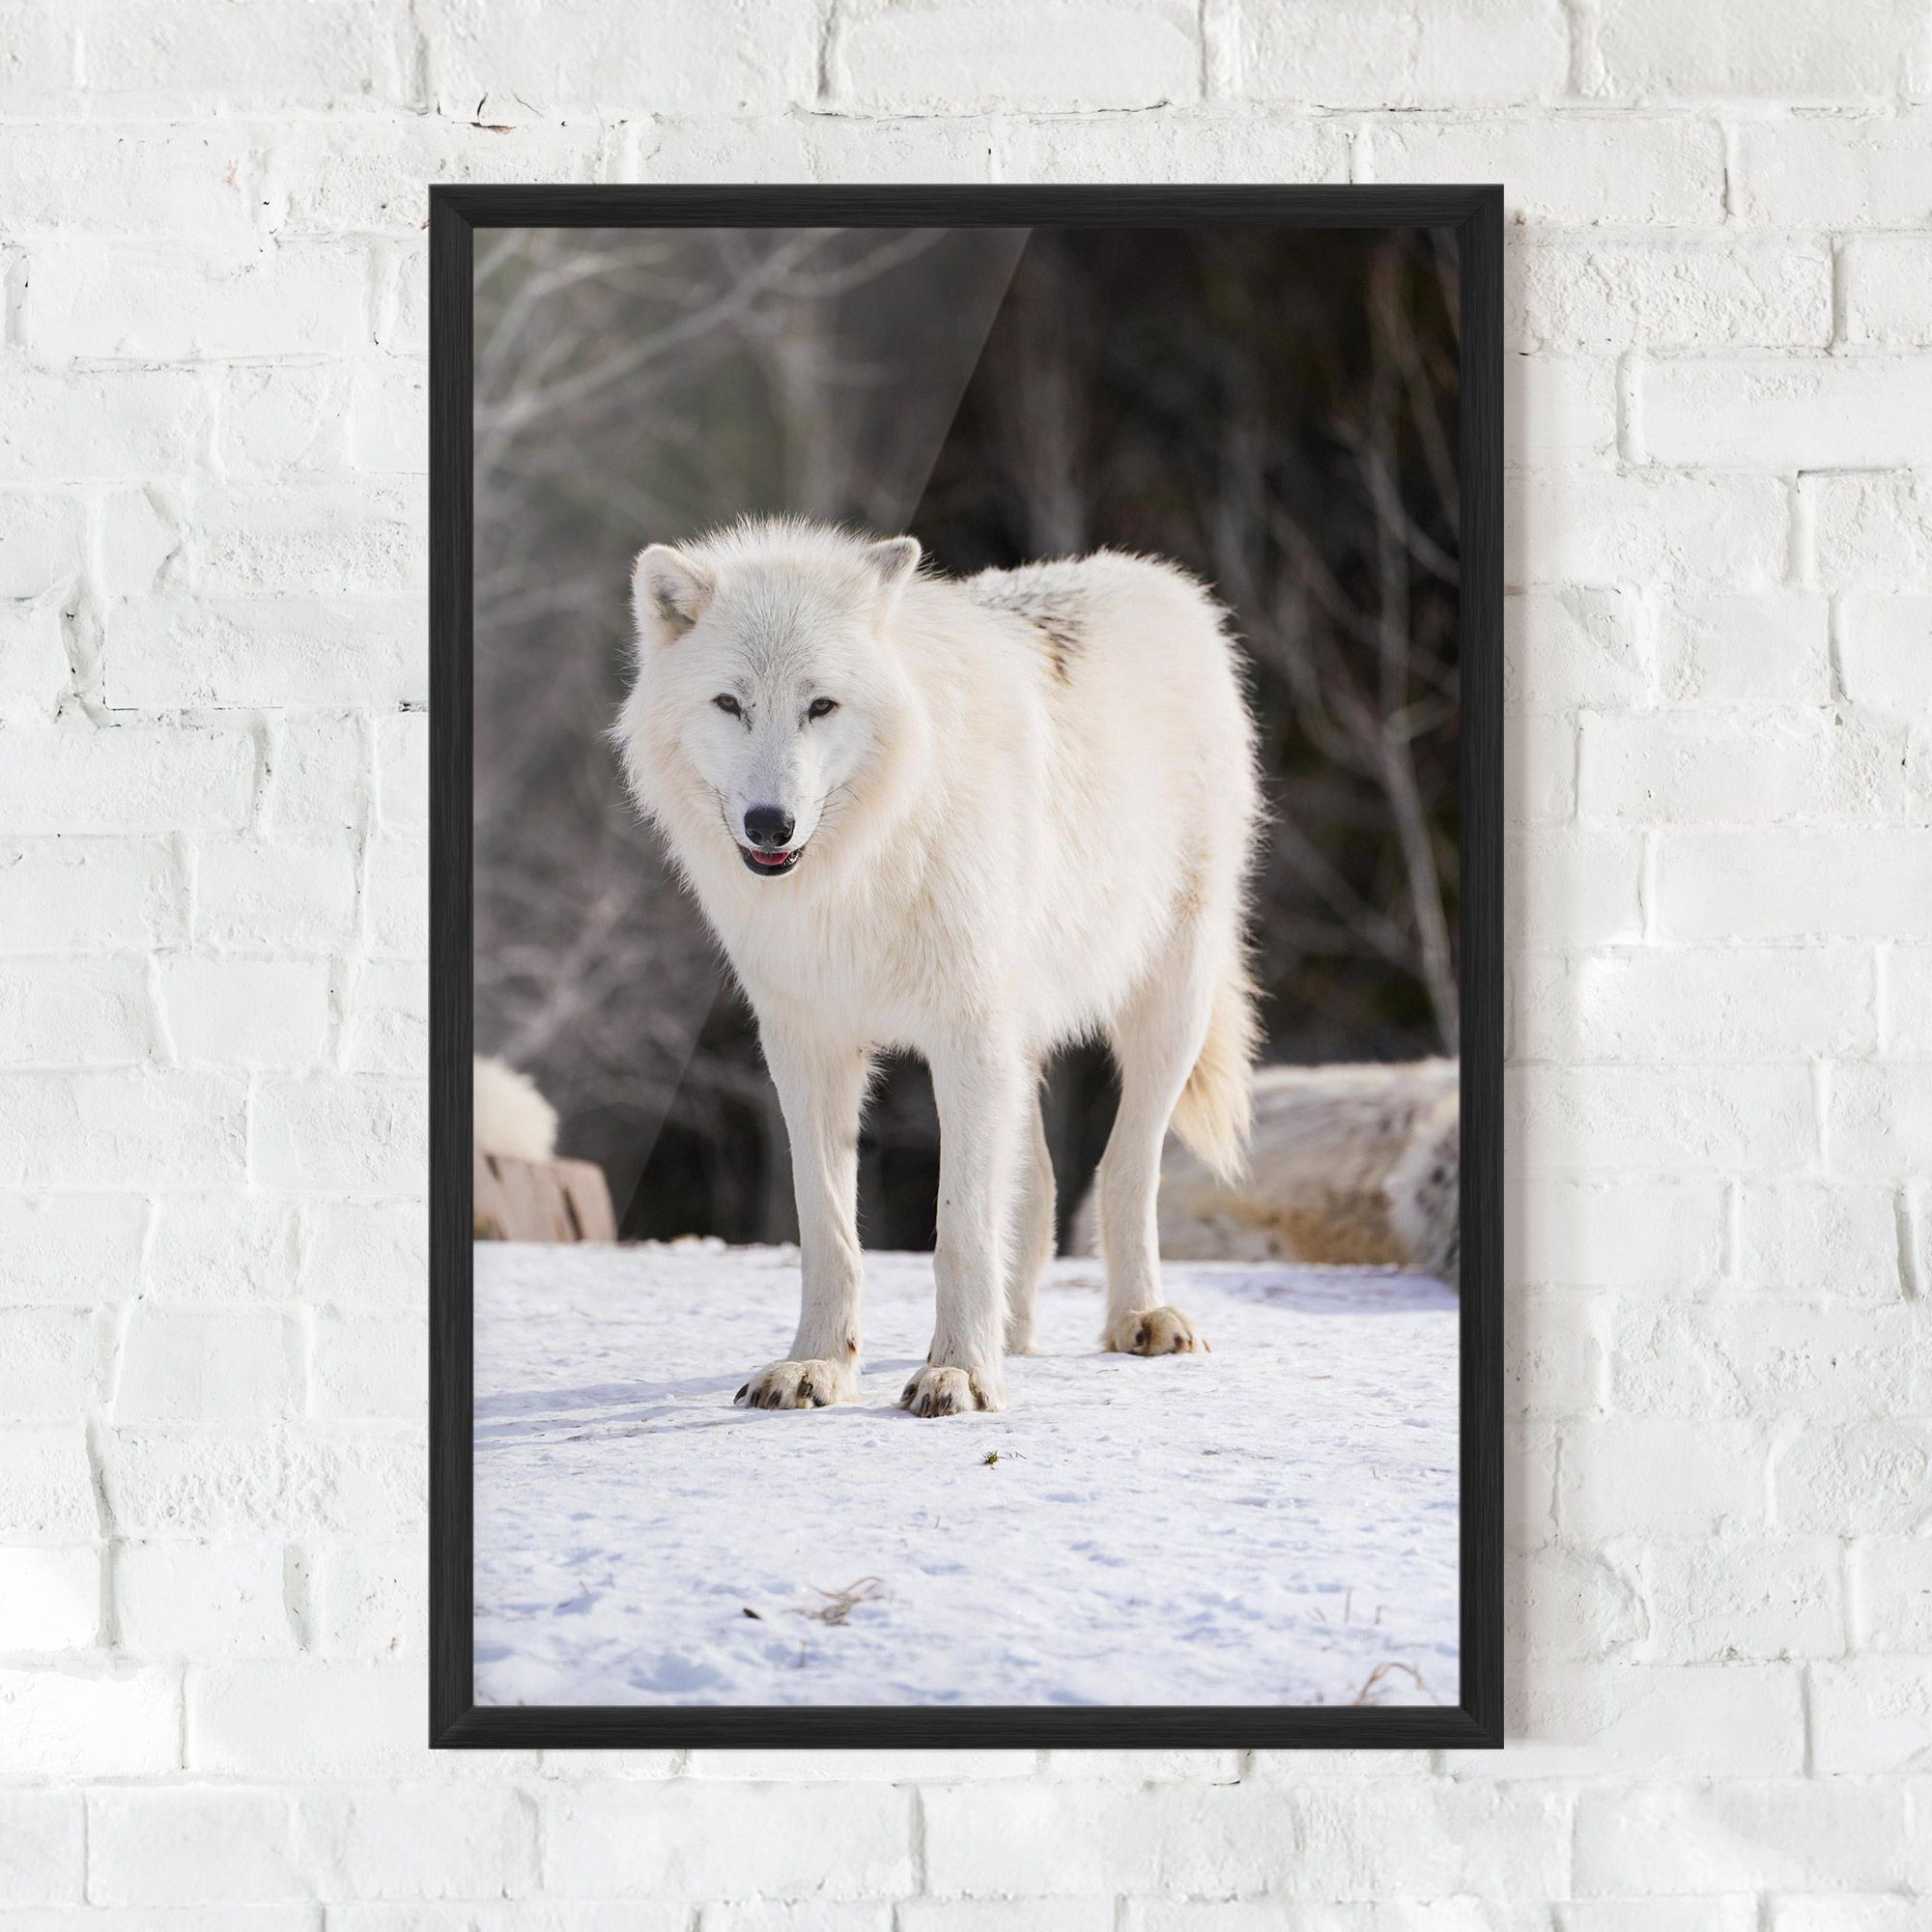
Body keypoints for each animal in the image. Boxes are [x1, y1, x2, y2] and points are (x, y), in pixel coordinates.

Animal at [614, 518, 1260, 1416]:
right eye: (729, 704)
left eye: (821, 705)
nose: (770, 824)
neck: (858, 872)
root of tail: (1160, 581)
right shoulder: (806, 1046)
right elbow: (828, 1227)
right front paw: (817, 1364)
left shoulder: (968, 1038)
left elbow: (958, 1227)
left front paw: (959, 1372)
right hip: (1024, 1042)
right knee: (1041, 1185)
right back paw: (1015, 1335)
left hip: (1168, 1007)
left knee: (1126, 1167)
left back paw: (1139, 1318)